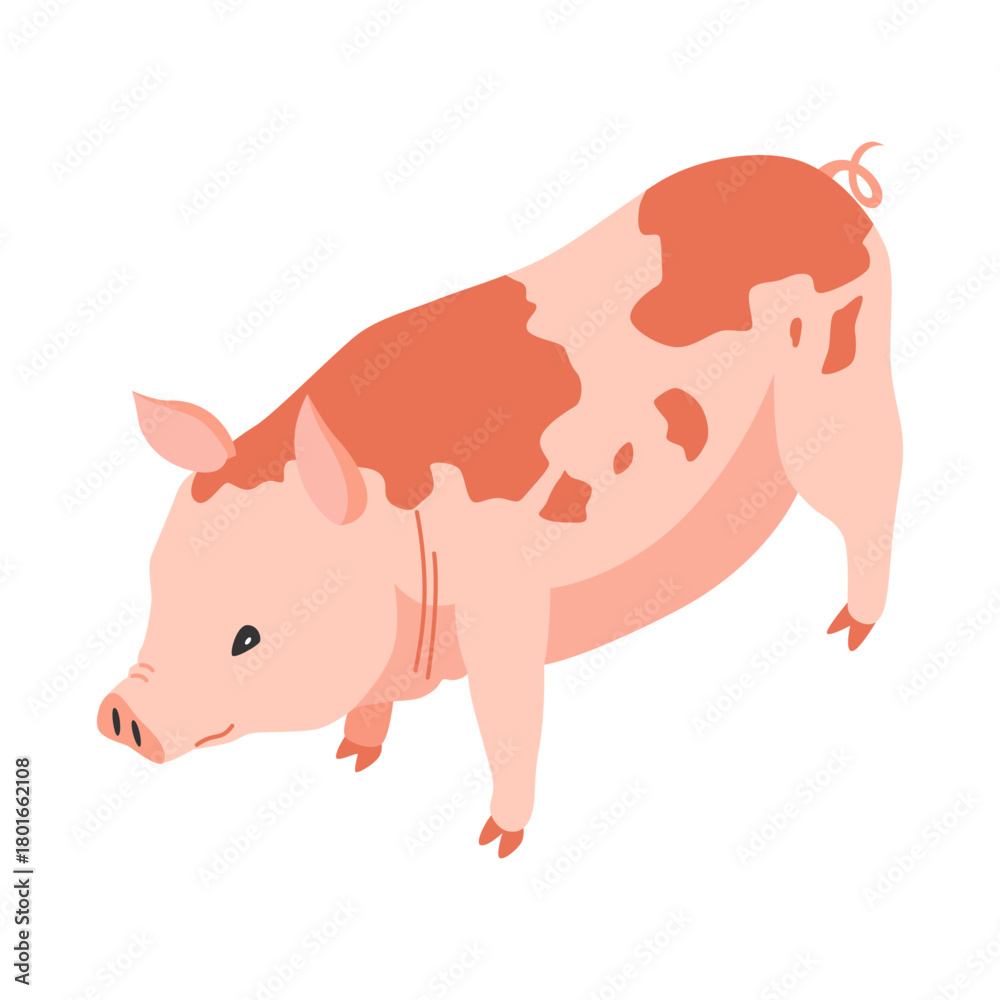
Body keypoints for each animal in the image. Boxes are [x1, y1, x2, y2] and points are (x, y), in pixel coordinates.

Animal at [98, 144, 902, 858]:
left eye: (249, 635)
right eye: (159, 586)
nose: (120, 712)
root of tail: (833, 186)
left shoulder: (509, 602)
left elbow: (509, 723)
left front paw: (496, 844)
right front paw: (351, 758)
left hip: (841, 391)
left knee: (878, 487)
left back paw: (851, 632)